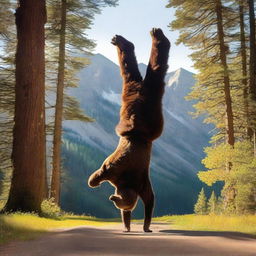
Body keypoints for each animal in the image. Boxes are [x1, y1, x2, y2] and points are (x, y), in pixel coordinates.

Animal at [88, 28, 170, 232]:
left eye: (119, 203)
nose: (114, 198)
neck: (126, 182)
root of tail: (135, 132)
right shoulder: (117, 173)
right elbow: (149, 201)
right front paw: (131, 224)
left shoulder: (133, 180)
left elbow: (149, 202)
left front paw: (140, 225)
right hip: (141, 104)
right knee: (145, 75)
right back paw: (137, 40)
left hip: (144, 109)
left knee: (143, 75)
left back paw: (144, 39)